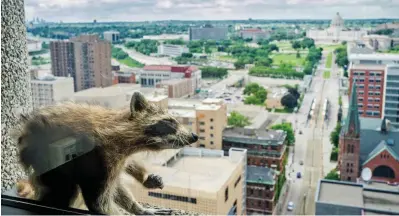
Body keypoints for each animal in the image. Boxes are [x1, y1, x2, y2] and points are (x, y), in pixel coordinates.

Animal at [15, 91, 200, 214]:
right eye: (169, 122)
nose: (194, 136)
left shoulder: (117, 156)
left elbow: (120, 180)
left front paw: (140, 199)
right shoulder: (96, 156)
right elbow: (98, 202)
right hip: (49, 162)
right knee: (64, 190)